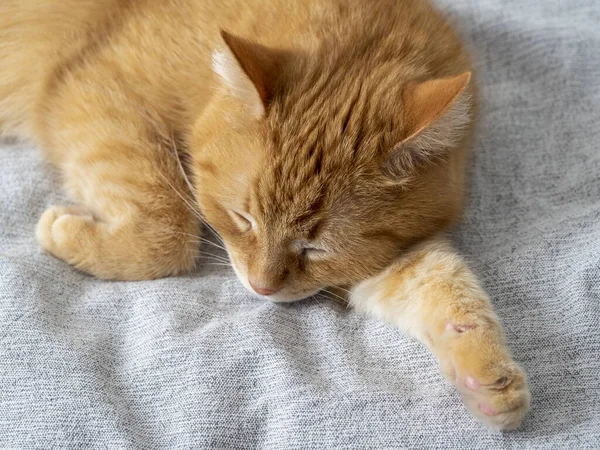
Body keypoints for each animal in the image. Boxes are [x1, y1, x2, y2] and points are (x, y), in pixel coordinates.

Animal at [2, 0, 528, 428]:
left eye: (316, 248)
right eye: (244, 219)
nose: (261, 287)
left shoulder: (389, 253)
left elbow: (443, 286)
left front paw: (485, 372)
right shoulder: (96, 91)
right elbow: (170, 232)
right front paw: (67, 233)